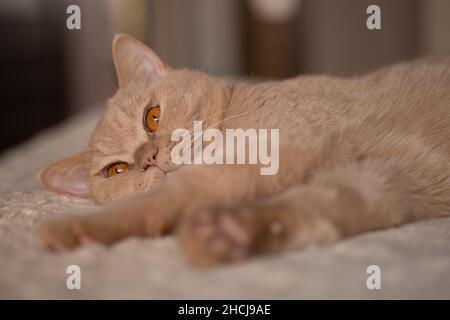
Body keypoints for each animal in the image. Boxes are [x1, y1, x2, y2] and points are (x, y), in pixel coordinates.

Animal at [36, 33, 450, 266]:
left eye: (152, 117)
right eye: (117, 170)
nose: (148, 158)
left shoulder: (258, 159)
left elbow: (155, 203)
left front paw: (76, 227)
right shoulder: (375, 181)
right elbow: (311, 211)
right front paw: (230, 231)